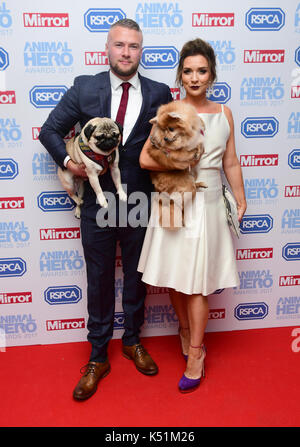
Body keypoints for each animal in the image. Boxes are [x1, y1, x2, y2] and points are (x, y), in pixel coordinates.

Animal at [148, 102, 206, 231]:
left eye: (171, 128)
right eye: (163, 130)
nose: (165, 138)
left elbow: (199, 142)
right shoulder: (177, 152)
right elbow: (189, 150)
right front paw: (195, 153)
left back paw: (201, 184)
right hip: (187, 187)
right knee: (181, 206)